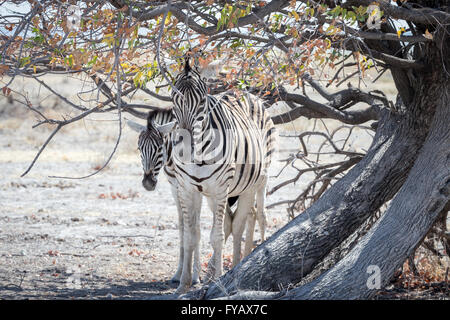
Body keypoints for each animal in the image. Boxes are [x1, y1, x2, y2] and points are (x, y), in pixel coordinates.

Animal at [126, 110, 266, 284]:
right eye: (139, 148)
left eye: (159, 148)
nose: (148, 183)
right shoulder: (177, 189)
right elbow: (184, 228)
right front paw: (180, 273)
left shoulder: (191, 189)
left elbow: (196, 228)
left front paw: (194, 276)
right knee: (243, 216)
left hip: (253, 182)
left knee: (254, 214)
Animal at [171, 58, 276, 294]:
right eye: (173, 98)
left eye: (202, 101)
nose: (184, 145)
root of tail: (242, 91)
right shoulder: (187, 189)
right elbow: (190, 236)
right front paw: (184, 283)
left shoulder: (220, 189)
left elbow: (217, 237)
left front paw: (218, 280)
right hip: (223, 192)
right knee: (235, 222)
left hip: (257, 180)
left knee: (252, 218)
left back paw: (236, 267)